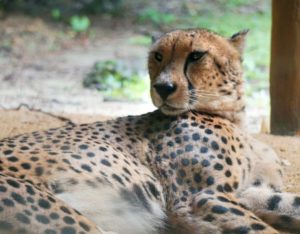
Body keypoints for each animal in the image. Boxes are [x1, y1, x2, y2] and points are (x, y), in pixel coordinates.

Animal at [0, 27, 300, 234]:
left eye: (196, 55)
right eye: (158, 56)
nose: (163, 87)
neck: (230, 118)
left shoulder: (245, 192)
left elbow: (286, 203)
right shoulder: (199, 198)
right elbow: (261, 228)